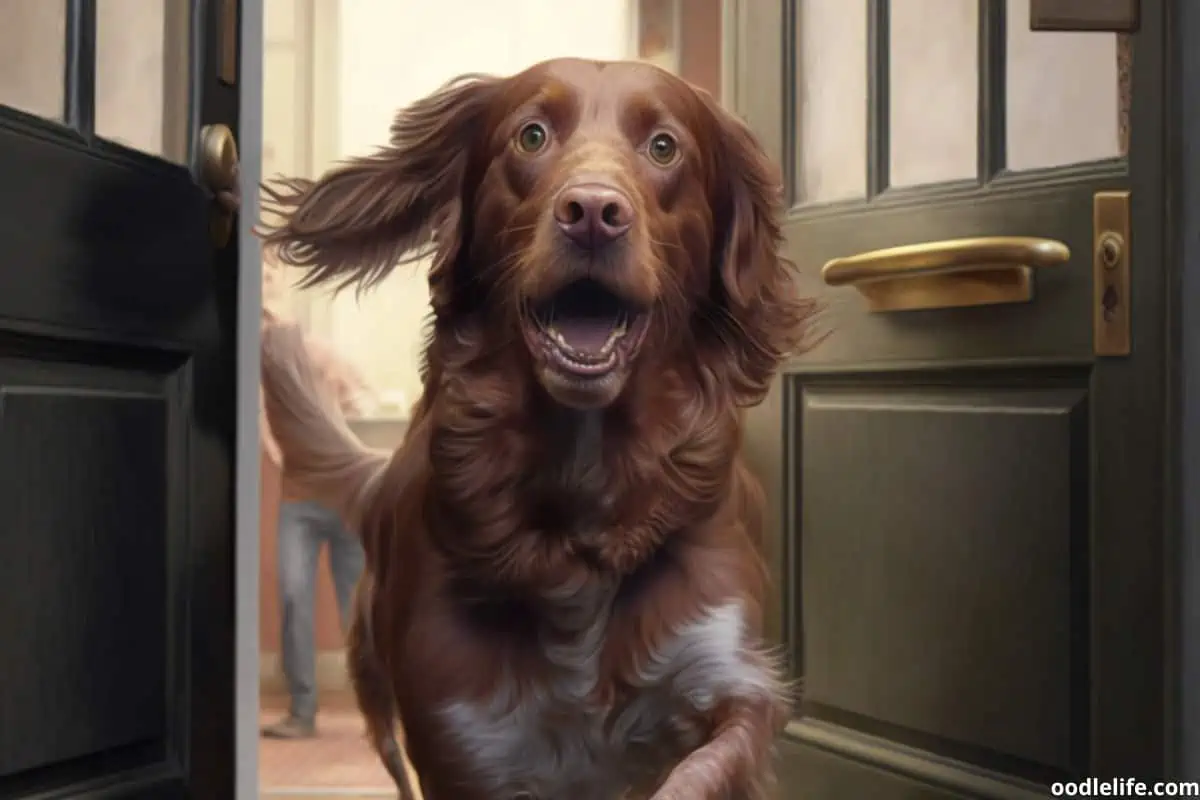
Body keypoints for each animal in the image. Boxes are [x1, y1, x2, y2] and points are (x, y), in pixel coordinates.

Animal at [259, 57, 820, 800]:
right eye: (531, 135)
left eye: (664, 146)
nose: (593, 214)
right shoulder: (464, 740)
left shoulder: (730, 679)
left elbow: (698, 768)